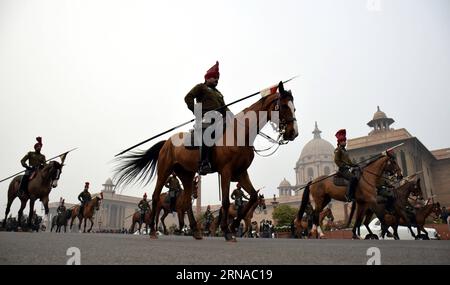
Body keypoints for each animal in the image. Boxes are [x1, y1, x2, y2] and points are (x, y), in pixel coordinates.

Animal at [113, 81, 298, 241]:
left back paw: (195, 231)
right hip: (164, 170)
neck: (239, 134)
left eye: (294, 107)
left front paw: (233, 227)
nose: (293, 133)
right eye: (283, 106)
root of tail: (166, 141)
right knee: (156, 196)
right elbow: (225, 201)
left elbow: (252, 196)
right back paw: (152, 230)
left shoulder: (241, 173)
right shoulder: (226, 171)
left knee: (186, 202)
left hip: (186, 174)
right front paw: (227, 231)